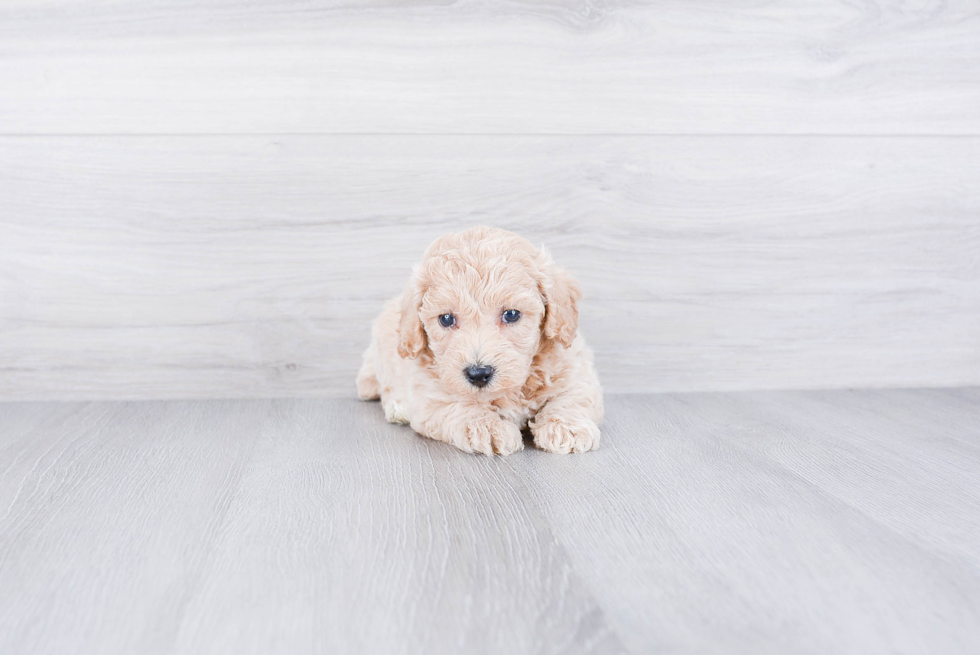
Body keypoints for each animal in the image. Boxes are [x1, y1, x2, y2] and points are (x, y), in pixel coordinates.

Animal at [358, 226, 604, 456]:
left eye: (511, 314)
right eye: (446, 319)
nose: (478, 374)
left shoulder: (573, 368)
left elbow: (572, 396)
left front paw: (567, 427)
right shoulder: (429, 397)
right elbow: (458, 406)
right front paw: (486, 427)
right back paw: (398, 407)